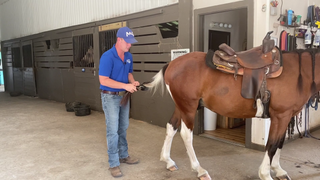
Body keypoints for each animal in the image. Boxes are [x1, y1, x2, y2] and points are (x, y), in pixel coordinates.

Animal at [141, 34, 320, 179]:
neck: (299, 73)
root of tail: (171, 65)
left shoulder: (286, 116)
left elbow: (280, 142)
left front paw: (278, 170)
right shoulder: (281, 115)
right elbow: (272, 145)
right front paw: (266, 174)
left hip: (181, 106)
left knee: (171, 127)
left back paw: (168, 161)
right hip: (188, 107)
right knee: (186, 134)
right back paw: (199, 170)